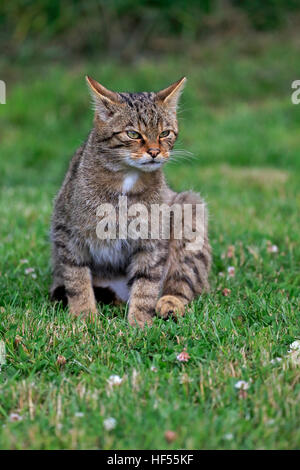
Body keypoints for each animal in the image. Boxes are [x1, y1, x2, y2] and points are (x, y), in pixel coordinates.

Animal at [50, 76, 211, 326]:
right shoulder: (67, 233)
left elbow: (146, 285)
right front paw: (84, 317)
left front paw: (140, 324)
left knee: (183, 282)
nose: (154, 151)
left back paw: (170, 304)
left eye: (165, 133)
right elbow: (77, 279)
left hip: (189, 209)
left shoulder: (152, 240)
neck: (126, 180)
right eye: (133, 134)